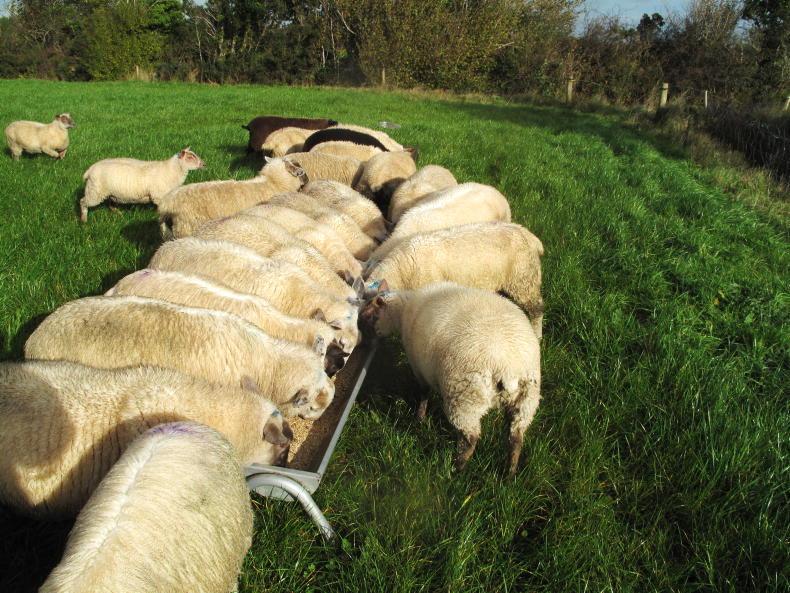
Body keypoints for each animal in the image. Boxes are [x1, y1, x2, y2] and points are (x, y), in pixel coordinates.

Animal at [359, 283, 541, 476]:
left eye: (370, 316)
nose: (362, 343)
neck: (403, 310)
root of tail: (508, 368)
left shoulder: (419, 369)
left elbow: (423, 394)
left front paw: (419, 418)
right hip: (526, 402)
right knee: (516, 438)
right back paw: (510, 472)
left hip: (465, 399)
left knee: (470, 438)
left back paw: (456, 469)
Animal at [365, 222, 544, 339]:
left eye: (376, 314)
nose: (376, 334)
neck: (402, 269)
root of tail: (529, 236)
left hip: (524, 279)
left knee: (537, 308)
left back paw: (537, 335)